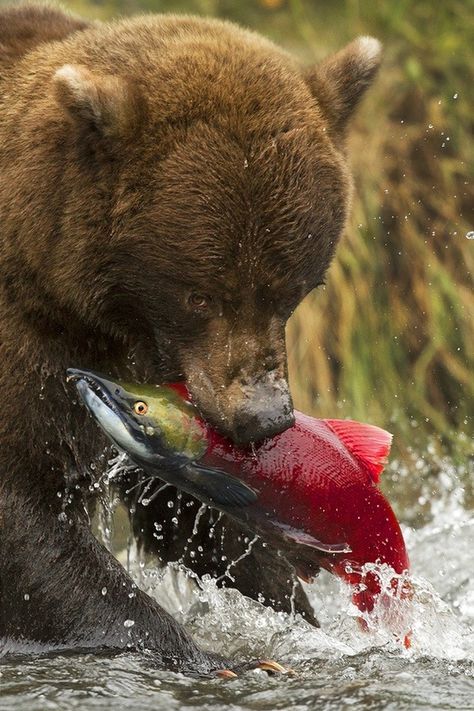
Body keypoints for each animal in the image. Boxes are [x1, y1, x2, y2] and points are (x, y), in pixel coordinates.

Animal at [0, 4, 380, 672]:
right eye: (201, 294)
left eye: (293, 290)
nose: (263, 417)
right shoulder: (33, 341)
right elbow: (27, 517)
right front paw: (195, 649)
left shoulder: (148, 374)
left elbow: (191, 511)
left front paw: (297, 615)